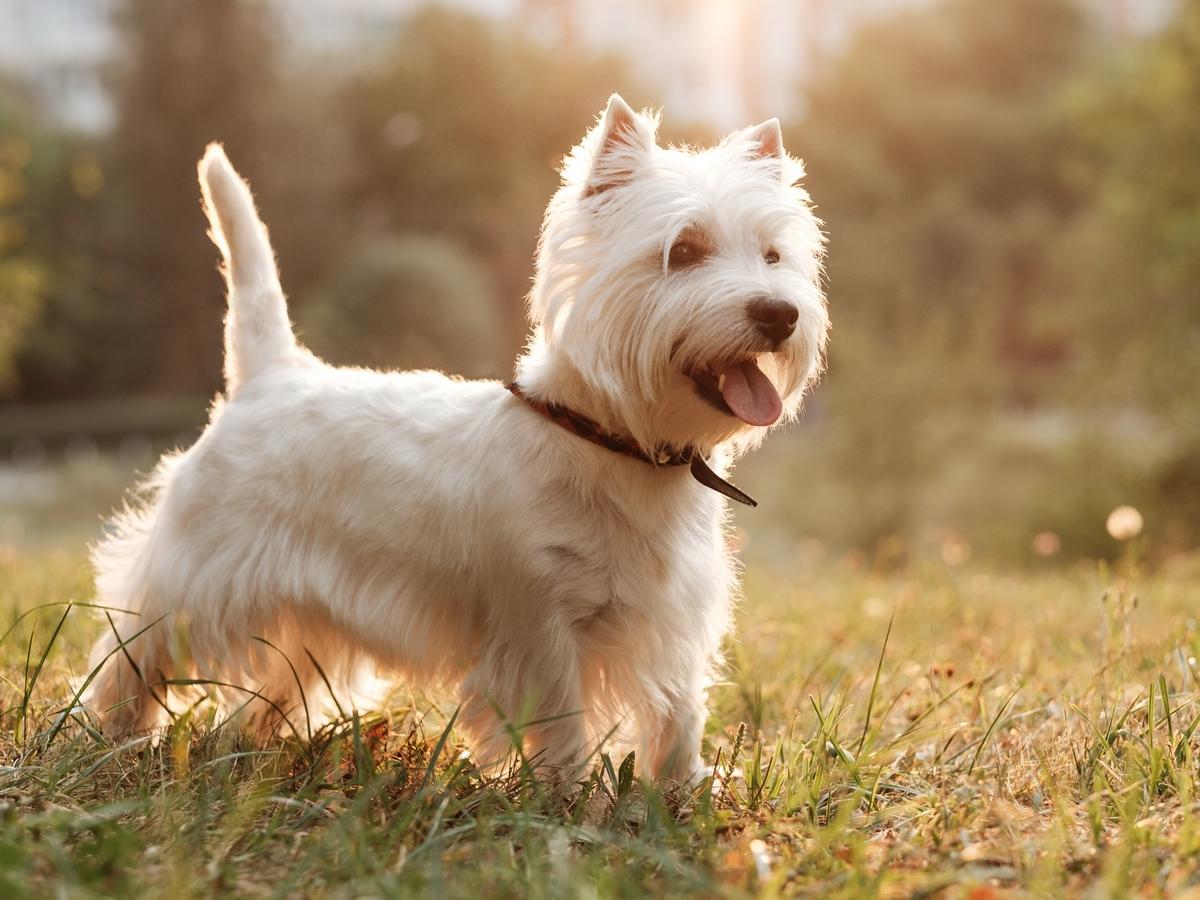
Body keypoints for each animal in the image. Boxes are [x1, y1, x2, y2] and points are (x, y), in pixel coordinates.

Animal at [87, 97, 825, 782]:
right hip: (197, 573)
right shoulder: (539, 622)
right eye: (685, 251)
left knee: (275, 680)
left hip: (305, 607)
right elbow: (562, 718)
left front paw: (684, 791)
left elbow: (678, 713)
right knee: (135, 648)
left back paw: (261, 745)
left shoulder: (673, 618)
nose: (779, 313)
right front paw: (569, 798)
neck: (616, 442)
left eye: (772, 255)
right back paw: (115, 738)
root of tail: (269, 374)